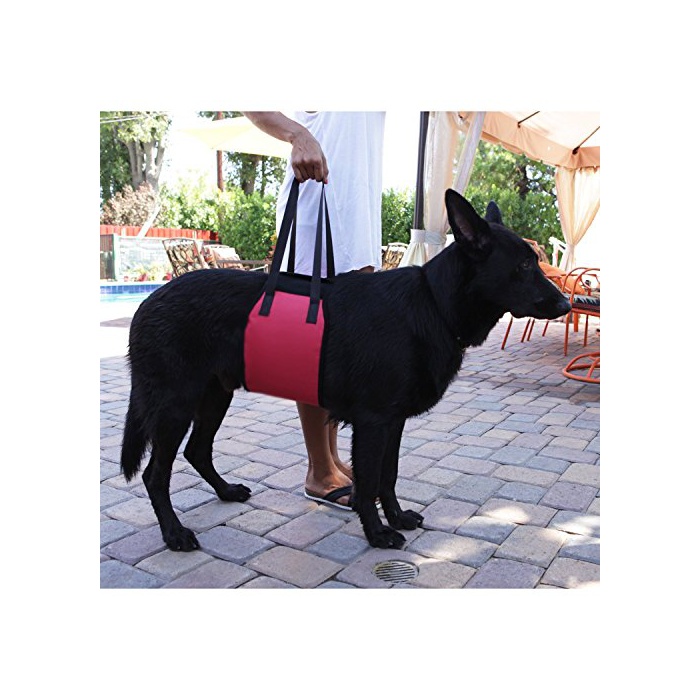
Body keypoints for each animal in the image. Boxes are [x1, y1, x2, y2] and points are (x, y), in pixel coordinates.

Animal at [120, 190, 571, 550]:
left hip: (215, 396)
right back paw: (174, 533)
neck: (433, 302)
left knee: (197, 451)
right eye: (524, 266)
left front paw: (397, 517)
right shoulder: (373, 423)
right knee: (155, 475)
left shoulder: (392, 423)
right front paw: (378, 533)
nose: (567, 304)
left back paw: (226, 492)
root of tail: (148, 302)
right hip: (175, 408)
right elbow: (369, 483)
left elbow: (388, 477)